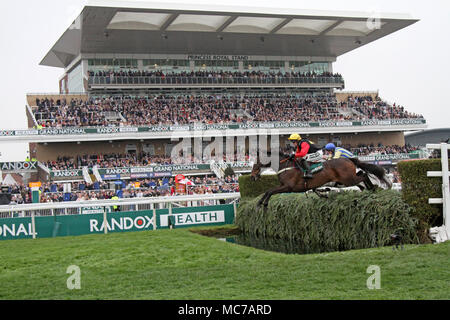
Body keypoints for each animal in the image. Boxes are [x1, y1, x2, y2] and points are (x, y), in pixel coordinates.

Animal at [250, 154, 390, 209]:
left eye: (256, 165)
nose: (252, 177)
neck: (286, 166)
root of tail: (348, 159)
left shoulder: (289, 187)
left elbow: (270, 191)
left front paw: (264, 204)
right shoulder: (283, 186)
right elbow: (268, 190)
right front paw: (260, 203)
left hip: (348, 180)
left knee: (364, 175)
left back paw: (372, 189)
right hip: (347, 179)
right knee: (362, 175)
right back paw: (370, 189)